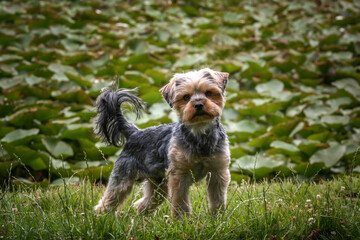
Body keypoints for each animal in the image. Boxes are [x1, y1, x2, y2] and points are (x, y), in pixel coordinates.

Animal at [93, 68, 231, 218]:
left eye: (209, 93)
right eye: (186, 97)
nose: (198, 104)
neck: (199, 132)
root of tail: (134, 132)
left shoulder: (218, 172)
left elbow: (218, 199)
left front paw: (218, 218)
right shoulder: (179, 175)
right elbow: (180, 201)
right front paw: (182, 221)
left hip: (159, 183)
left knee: (143, 203)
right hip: (124, 175)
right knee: (110, 197)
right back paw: (101, 216)